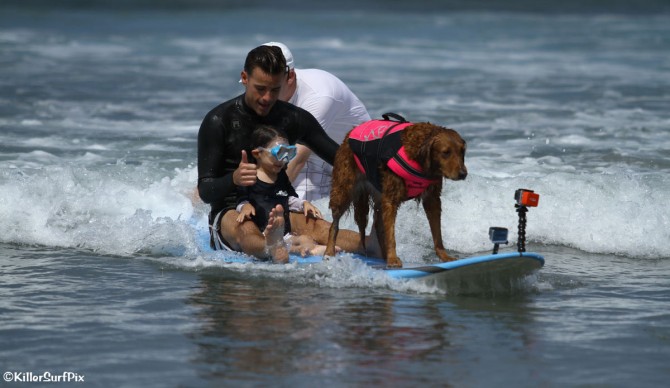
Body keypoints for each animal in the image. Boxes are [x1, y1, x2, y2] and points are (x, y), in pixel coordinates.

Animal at [324, 113, 468, 268]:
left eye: (462, 151)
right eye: (445, 152)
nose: (463, 174)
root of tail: (349, 133)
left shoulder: (433, 200)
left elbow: (437, 234)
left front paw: (444, 256)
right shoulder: (390, 199)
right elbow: (391, 235)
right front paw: (393, 259)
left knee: (378, 226)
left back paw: (382, 256)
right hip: (343, 189)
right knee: (334, 224)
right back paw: (329, 251)